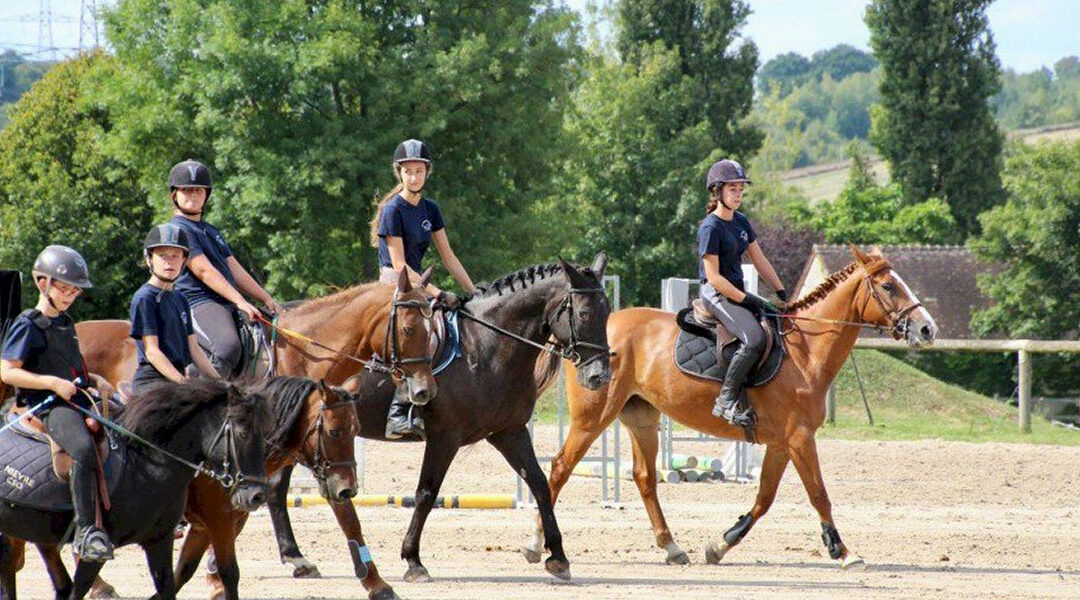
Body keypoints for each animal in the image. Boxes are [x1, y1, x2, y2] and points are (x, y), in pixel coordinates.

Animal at [0, 379, 270, 600]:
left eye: (263, 436)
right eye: (242, 433)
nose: (257, 496)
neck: (144, 464)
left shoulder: (159, 540)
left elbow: (169, 586)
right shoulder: (96, 553)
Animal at [262, 251, 613, 591]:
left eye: (608, 312)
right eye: (584, 314)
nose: (600, 375)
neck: (487, 347)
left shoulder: (508, 432)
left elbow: (540, 484)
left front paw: (557, 557)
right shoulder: (445, 436)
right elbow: (426, 493)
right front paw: (413, 561)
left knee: (276, 487)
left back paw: (297, 559)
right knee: (275, 486)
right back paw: (296, 557)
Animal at [522, 246, 937, 569]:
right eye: (888, 286)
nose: (927, 329)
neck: (805, 351)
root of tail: (579, 338)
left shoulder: (782, 443)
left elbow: (765, 498)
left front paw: (720, 545)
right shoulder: (800, 438)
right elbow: (818, 493)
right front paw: (844, 551)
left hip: (641, 417)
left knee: (644, 478)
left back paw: (672, 547)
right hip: (592, 417)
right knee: (558, 469)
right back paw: (537, 544)